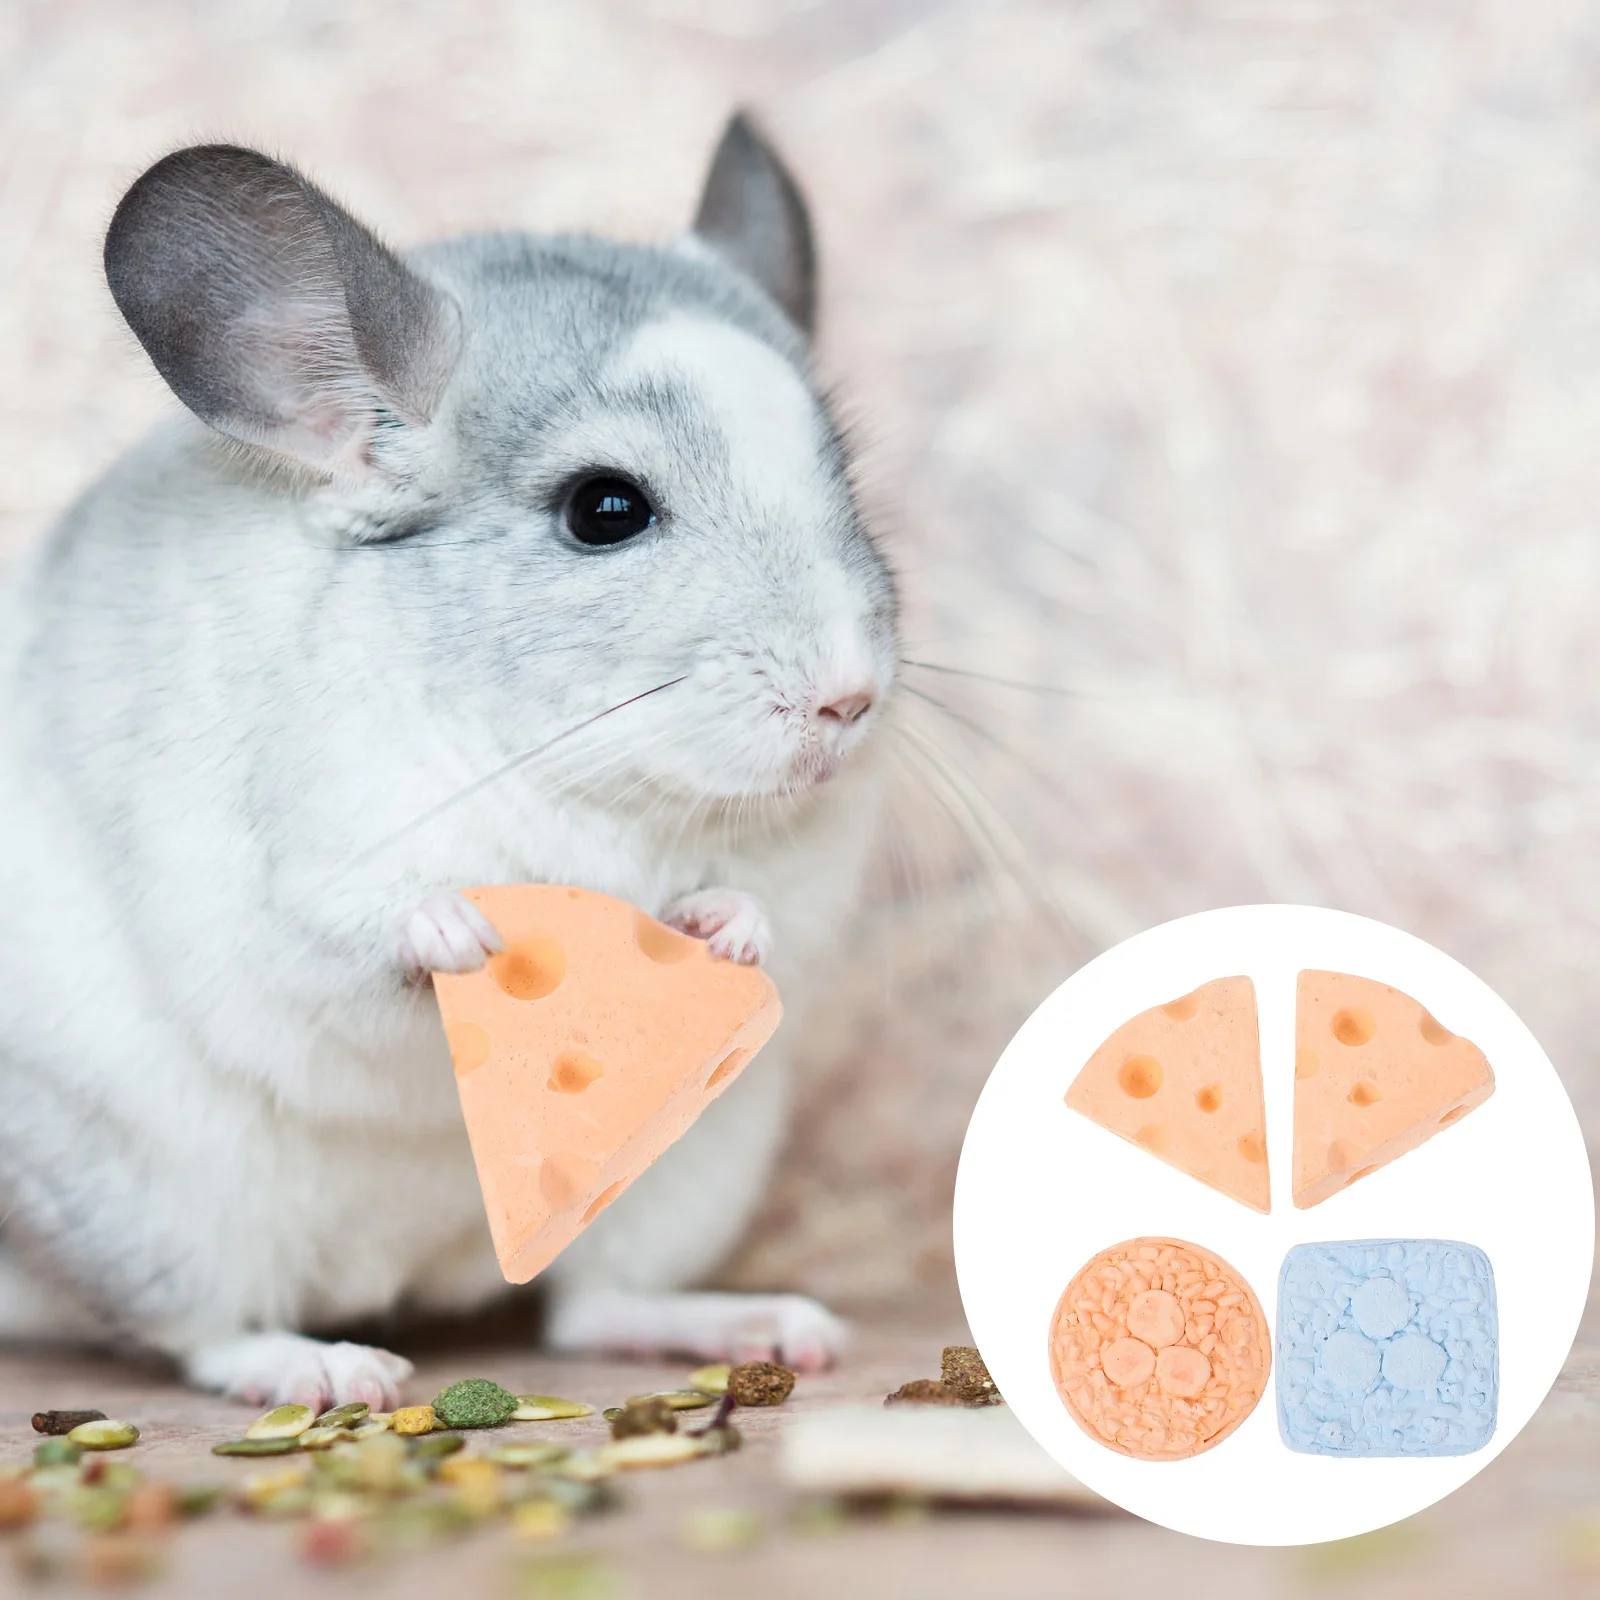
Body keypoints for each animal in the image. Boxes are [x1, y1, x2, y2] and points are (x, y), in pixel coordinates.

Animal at [0, 113, 898, 1410]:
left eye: (847, 490)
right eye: (605, 508)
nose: (849, 696)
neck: (583, 780)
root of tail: (407, 1273)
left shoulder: (804, 870)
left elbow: (764, 906)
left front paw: (724, 924)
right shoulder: (290, 879)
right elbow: (350, 940)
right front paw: (453, 927)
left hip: (689, 1167)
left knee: (589, 1308)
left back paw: (763, 1325)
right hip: (144, 1202)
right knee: (202, 1331)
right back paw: (328, 1368)